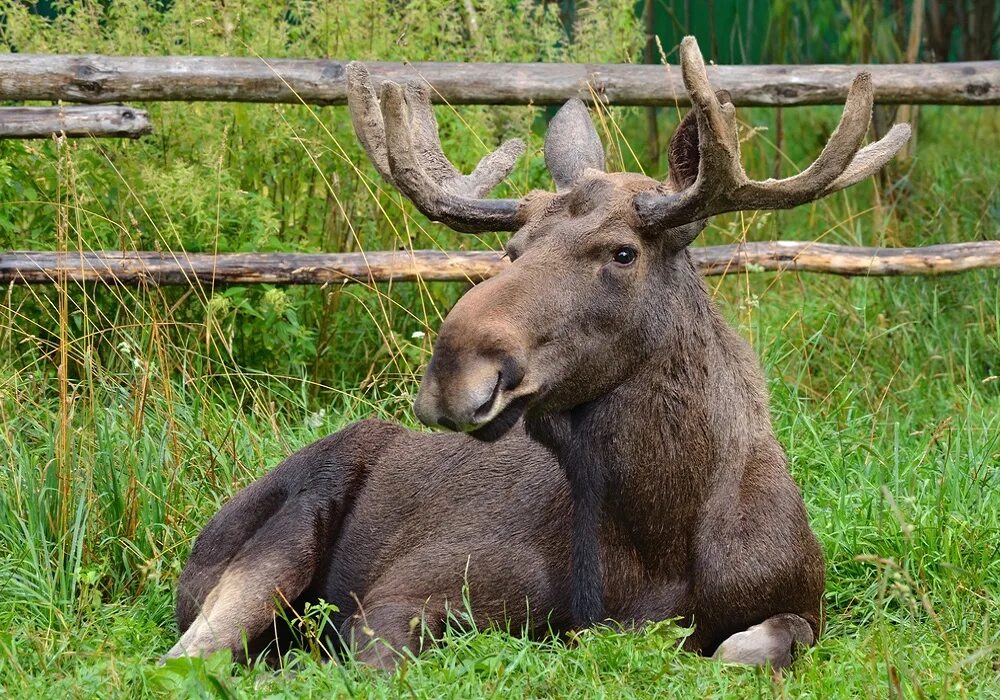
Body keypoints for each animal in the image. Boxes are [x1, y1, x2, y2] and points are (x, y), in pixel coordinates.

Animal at [168, 37, 912, 668]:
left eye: (622, 252)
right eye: (512, 249)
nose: (455, 371)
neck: (660, 541)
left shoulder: (802, 602)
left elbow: (753, 644)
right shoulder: (404, 594)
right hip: (280, 538)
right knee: (191, 654)